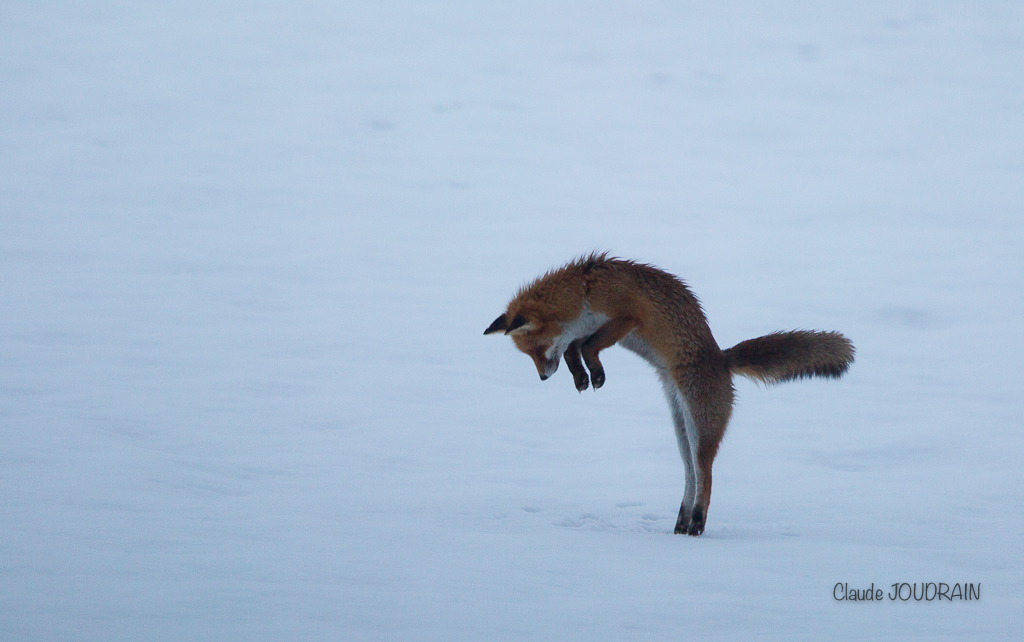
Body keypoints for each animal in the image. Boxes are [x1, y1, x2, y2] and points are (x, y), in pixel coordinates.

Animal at [483, 253, 851, 536]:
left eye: (536, 349)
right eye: (528, 355)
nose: (543, 378)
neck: (584, 292)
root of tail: (723, 359)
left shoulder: (626, 316)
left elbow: (588, 346)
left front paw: (596, 374)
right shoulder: (584, 331)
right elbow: (576, 349)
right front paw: (582, 378)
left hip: (700, 427)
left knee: (707, 476)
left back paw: (698, 524)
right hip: (681, 427)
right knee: (691, 475)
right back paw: (682, 524)